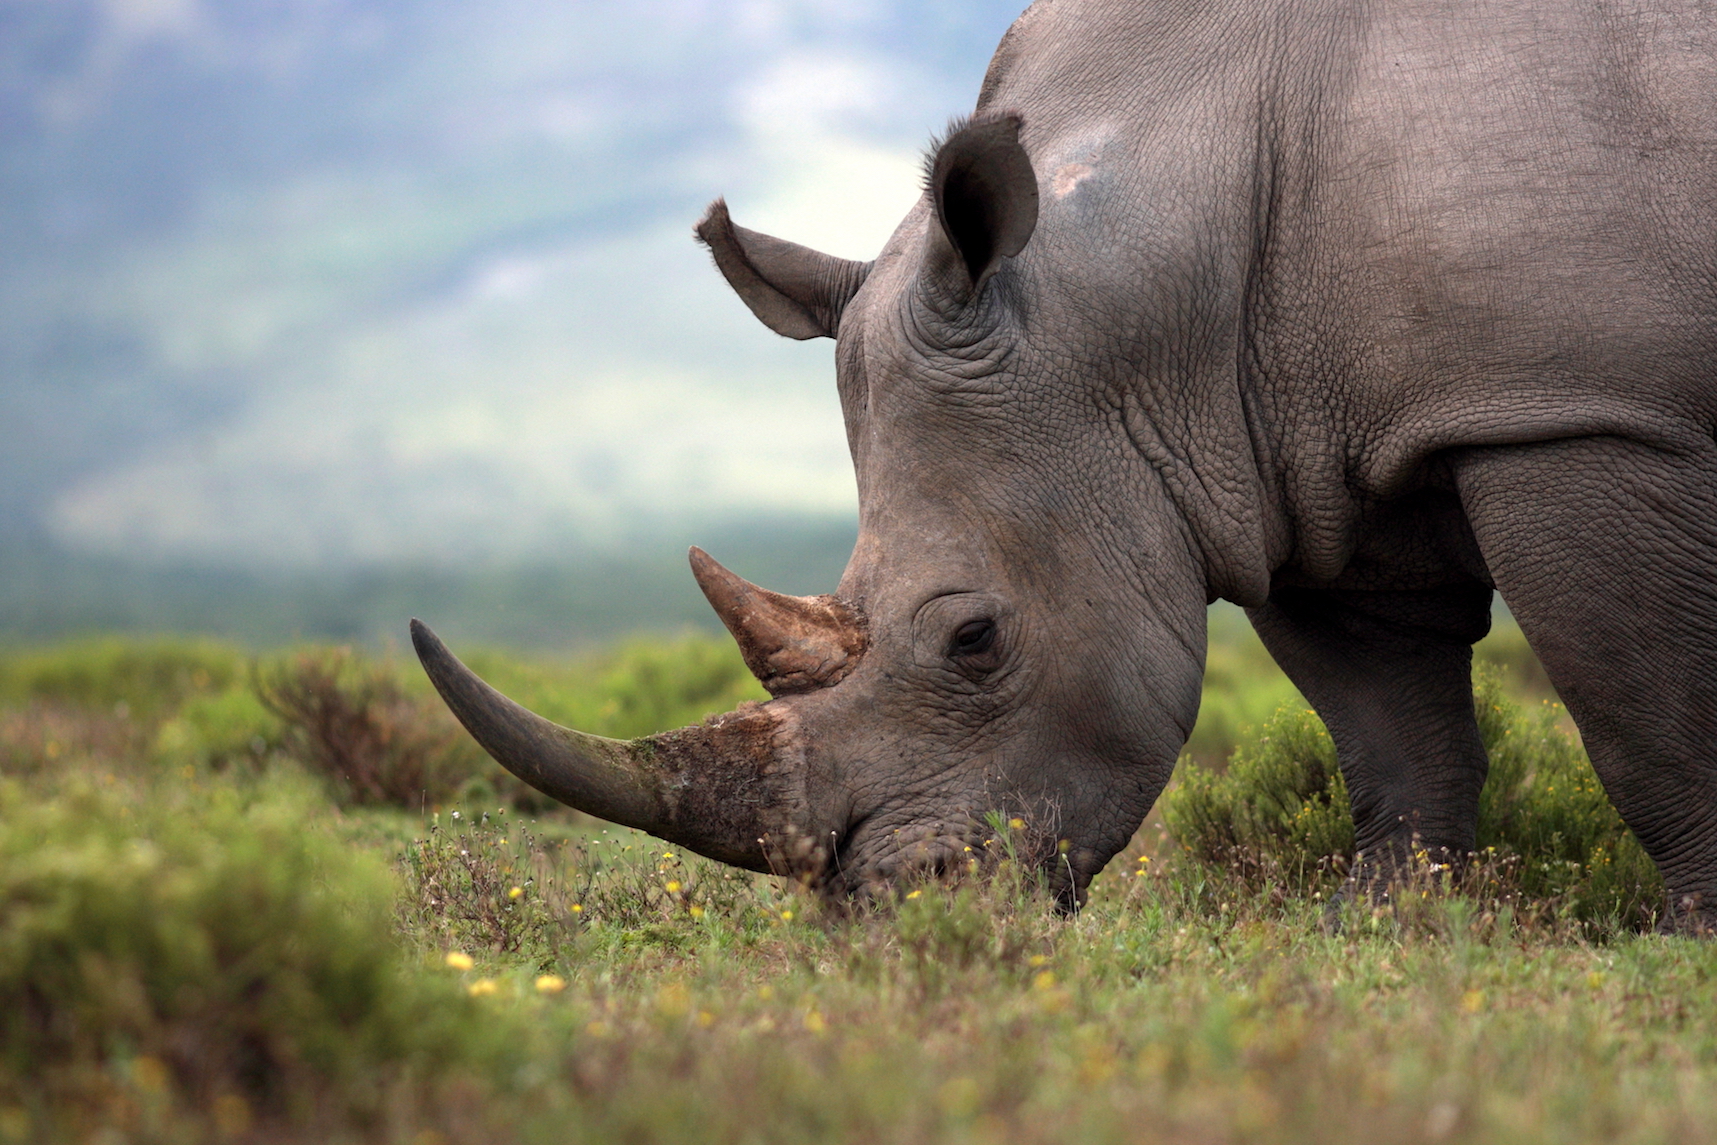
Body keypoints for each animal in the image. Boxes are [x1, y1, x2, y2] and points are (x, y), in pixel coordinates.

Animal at [412, 0, 1717, 929]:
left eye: (974, 638)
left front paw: (1690, 937)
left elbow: (1640, 698)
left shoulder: (1575, 411)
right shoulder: (1288, 464)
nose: (893, 913)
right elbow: (1389, 720)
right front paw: (1385, 921)